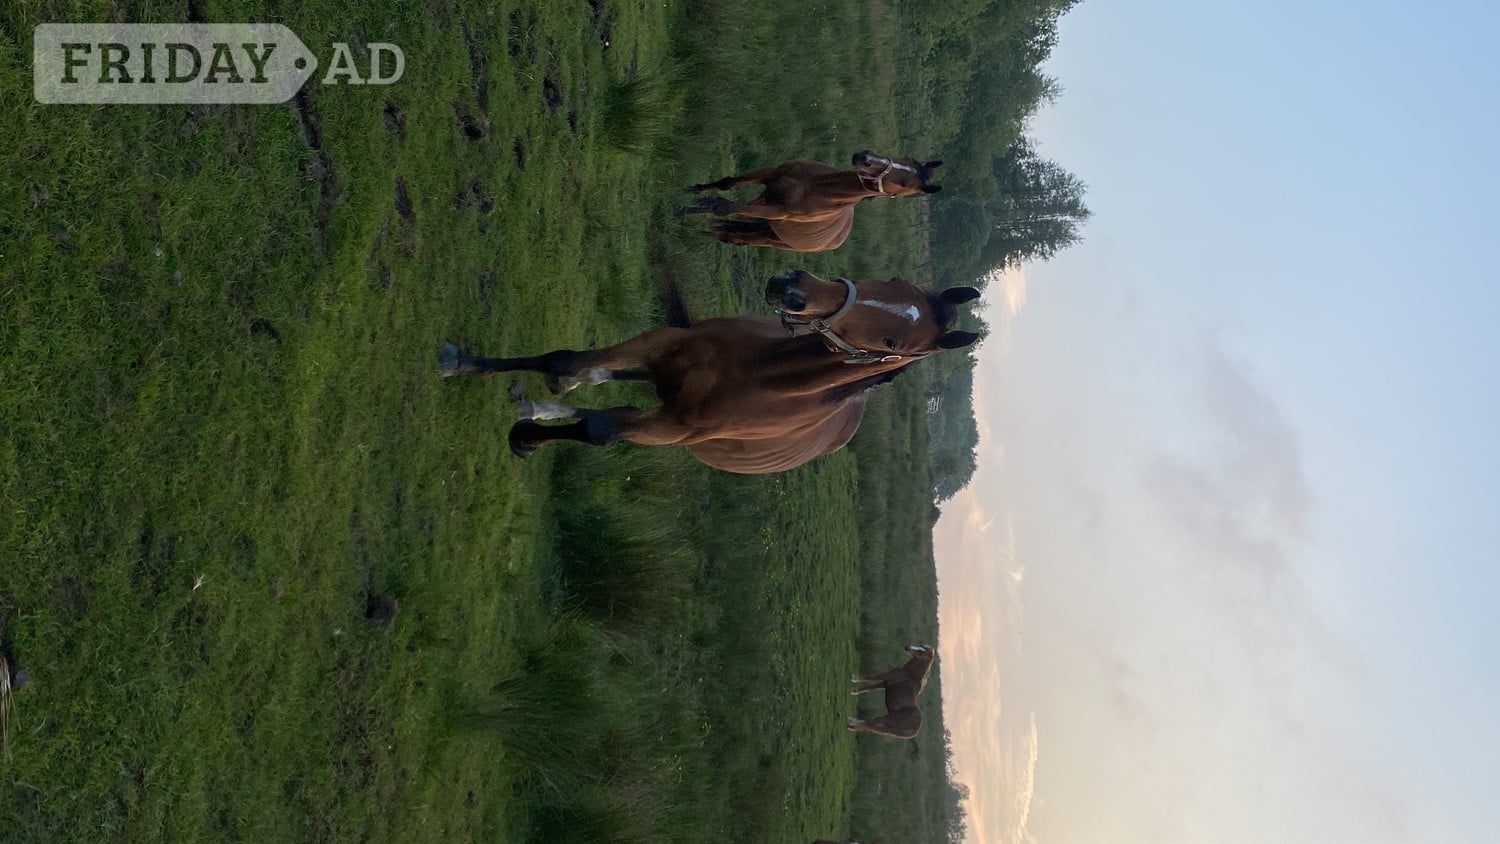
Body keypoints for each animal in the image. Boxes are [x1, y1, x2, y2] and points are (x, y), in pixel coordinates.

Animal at [439, 271, 979, 474]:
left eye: (894, 345)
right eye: (891, 278)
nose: (793, 289)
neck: (757, 374)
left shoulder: (674, 429)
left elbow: (600, 428)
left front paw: (525, 437)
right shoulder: (660, 343)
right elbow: (566, 359)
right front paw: (463, 362)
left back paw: (538, 409)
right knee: (598, 379)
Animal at [680, 150, 942, 252]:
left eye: (905, 185)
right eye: (902, 157)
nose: (864, 157)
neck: (816, 187)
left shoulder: (778, 212)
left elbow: (724, 207)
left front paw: (681, 211)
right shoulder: (771, 175)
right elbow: (727, 185)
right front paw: (695, 191)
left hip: (773, 237)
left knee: (737, 236)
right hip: (767, 211)